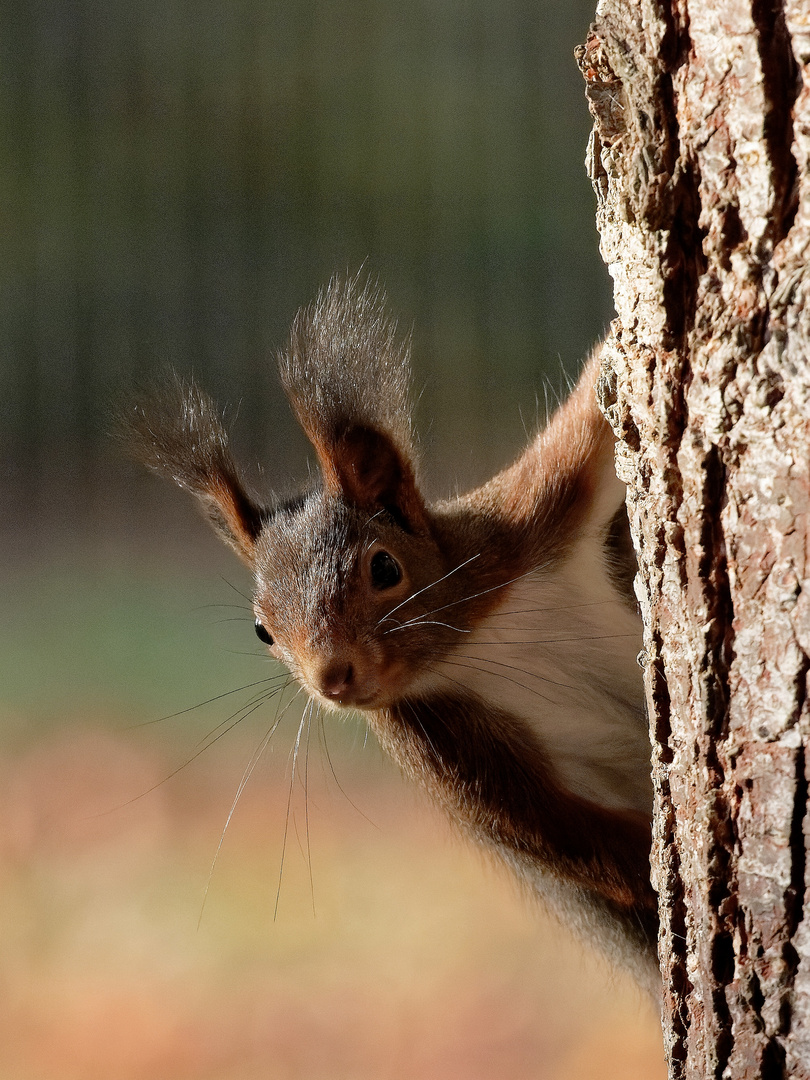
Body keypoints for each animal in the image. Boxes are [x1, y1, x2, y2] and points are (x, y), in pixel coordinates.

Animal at [122, 276, 665, 993]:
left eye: (384, 567)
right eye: (263, 631)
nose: (333, 678)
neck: (468, 642)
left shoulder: (527, 521)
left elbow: (582, 428)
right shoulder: (443, 746)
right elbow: (566, 837)